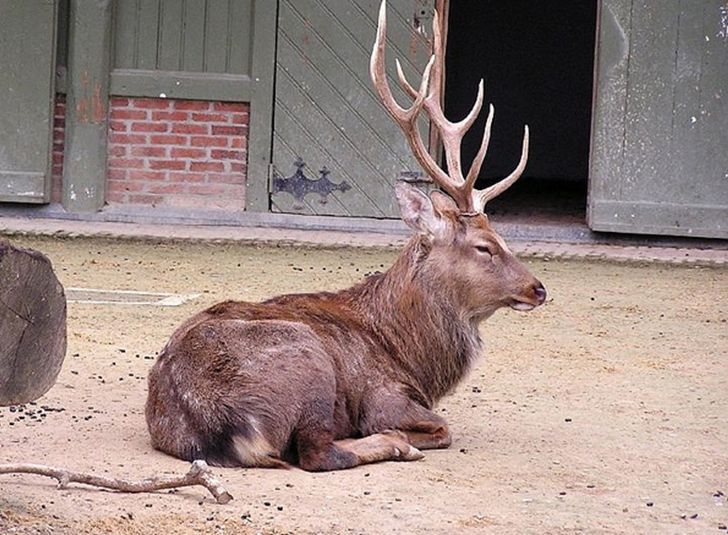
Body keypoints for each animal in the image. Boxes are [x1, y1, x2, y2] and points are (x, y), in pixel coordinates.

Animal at [145, 0, 546, 472]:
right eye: (484, 247)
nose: (538, 288)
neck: (413, 357)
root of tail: (222, 422)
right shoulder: (384, 395)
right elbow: (443, 428)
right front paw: (403, 435)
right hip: (308, 360)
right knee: (318, 453)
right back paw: (395, 444)